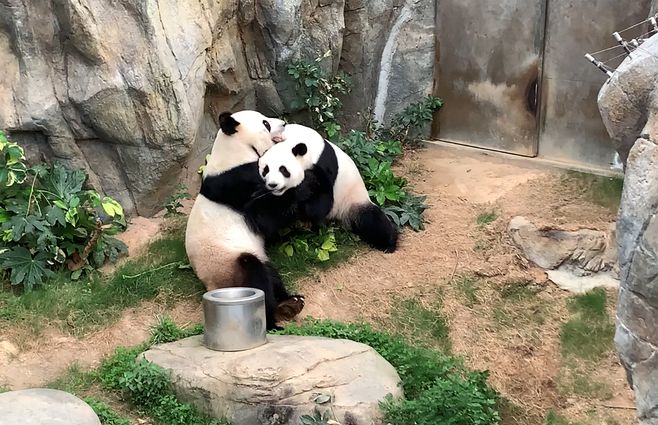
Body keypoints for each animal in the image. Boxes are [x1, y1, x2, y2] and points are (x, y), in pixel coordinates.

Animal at [185, 110, 305, 330]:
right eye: (266, 124)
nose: (284, 123)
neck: (235, 151)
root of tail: (211, 286)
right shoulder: (237, 182)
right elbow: (264, 217)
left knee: (271, 274)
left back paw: (289, 303)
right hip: (227, 264)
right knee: (255, 275)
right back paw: (272, 319)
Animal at [257, 123, 399, 252]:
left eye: (283, 170)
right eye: (266, 170)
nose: (273, 185)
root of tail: (338, 217)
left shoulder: (323, 165)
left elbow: (321, 204)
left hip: (352, 200)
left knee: (371, 220)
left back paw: (388, 244)